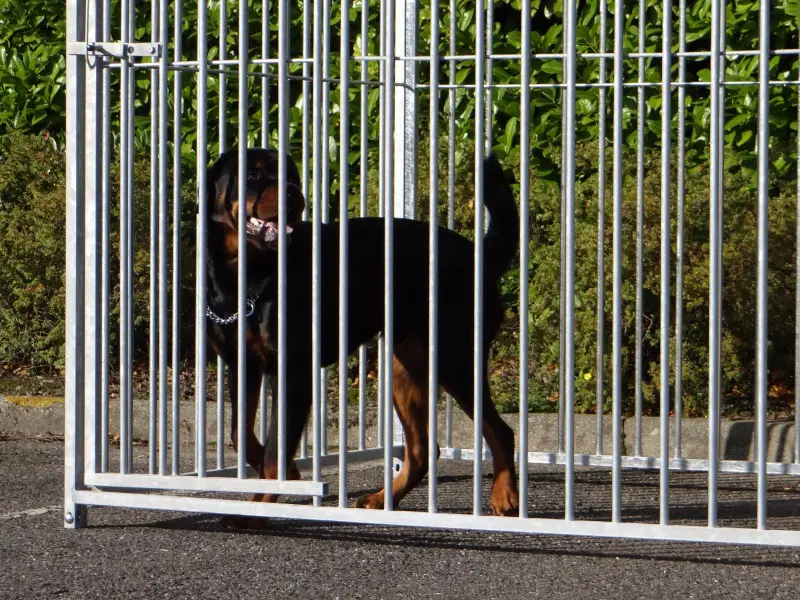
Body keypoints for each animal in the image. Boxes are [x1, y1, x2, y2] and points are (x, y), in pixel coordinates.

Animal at [205, 148, 520, 520]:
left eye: (292, 176)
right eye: (251, 175)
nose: (294, 193)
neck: (251, 275)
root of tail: (477, 256)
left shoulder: (294, 372)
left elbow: (274, 450)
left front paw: (259, 507)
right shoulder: (243, 366)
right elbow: (240, 435)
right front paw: (290, 474)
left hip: (455, 357)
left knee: (500, 431)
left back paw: (504, 496)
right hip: (405, 367)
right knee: (421, 450)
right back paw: (383, 499)